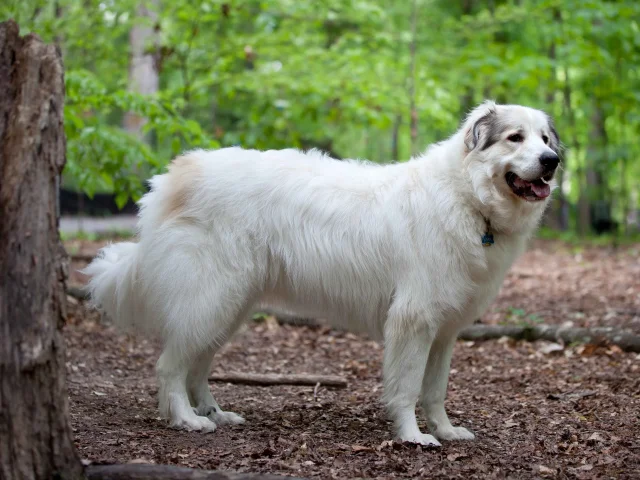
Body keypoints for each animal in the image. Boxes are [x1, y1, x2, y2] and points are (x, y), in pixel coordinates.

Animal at [86, 100, 560, 446]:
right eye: (515, 138)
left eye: (544, 138)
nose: (552, 160)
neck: (467, 198)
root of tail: (173, 176)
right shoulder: (413, 321)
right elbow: (407, 388)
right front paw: (413, 437)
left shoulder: (443, 332)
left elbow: (435, 390)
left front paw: (445, 430)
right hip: (210, 299)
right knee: (170, 366)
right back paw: (187, 419)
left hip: (228, 307)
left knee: (197, 365)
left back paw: (215, 413)